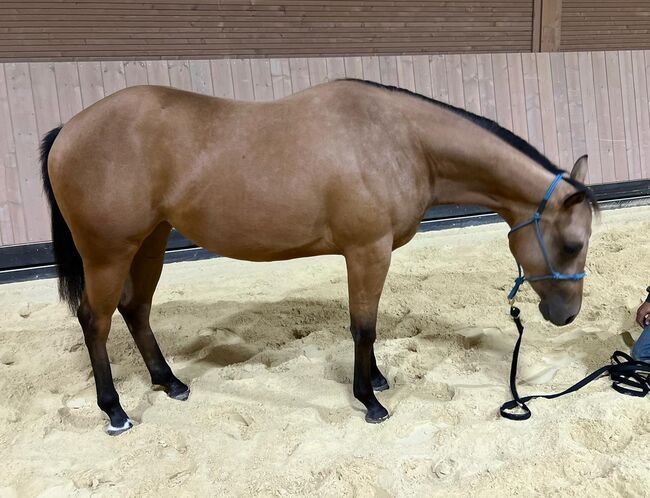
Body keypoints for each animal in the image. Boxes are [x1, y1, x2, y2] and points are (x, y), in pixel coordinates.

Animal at [39, 80, 592, 434]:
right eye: (572, 244)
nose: (567, 316)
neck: (401, 140)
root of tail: (68, 129)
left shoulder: (369, 255)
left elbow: (369, 325)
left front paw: (376, 380)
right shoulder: (367, 252)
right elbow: (363, 325)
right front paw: (369, 400)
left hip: (150, 242)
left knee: (135, 310)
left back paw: (169, 382)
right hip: (108, 253)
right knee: (96, 321)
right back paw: (114, 411)